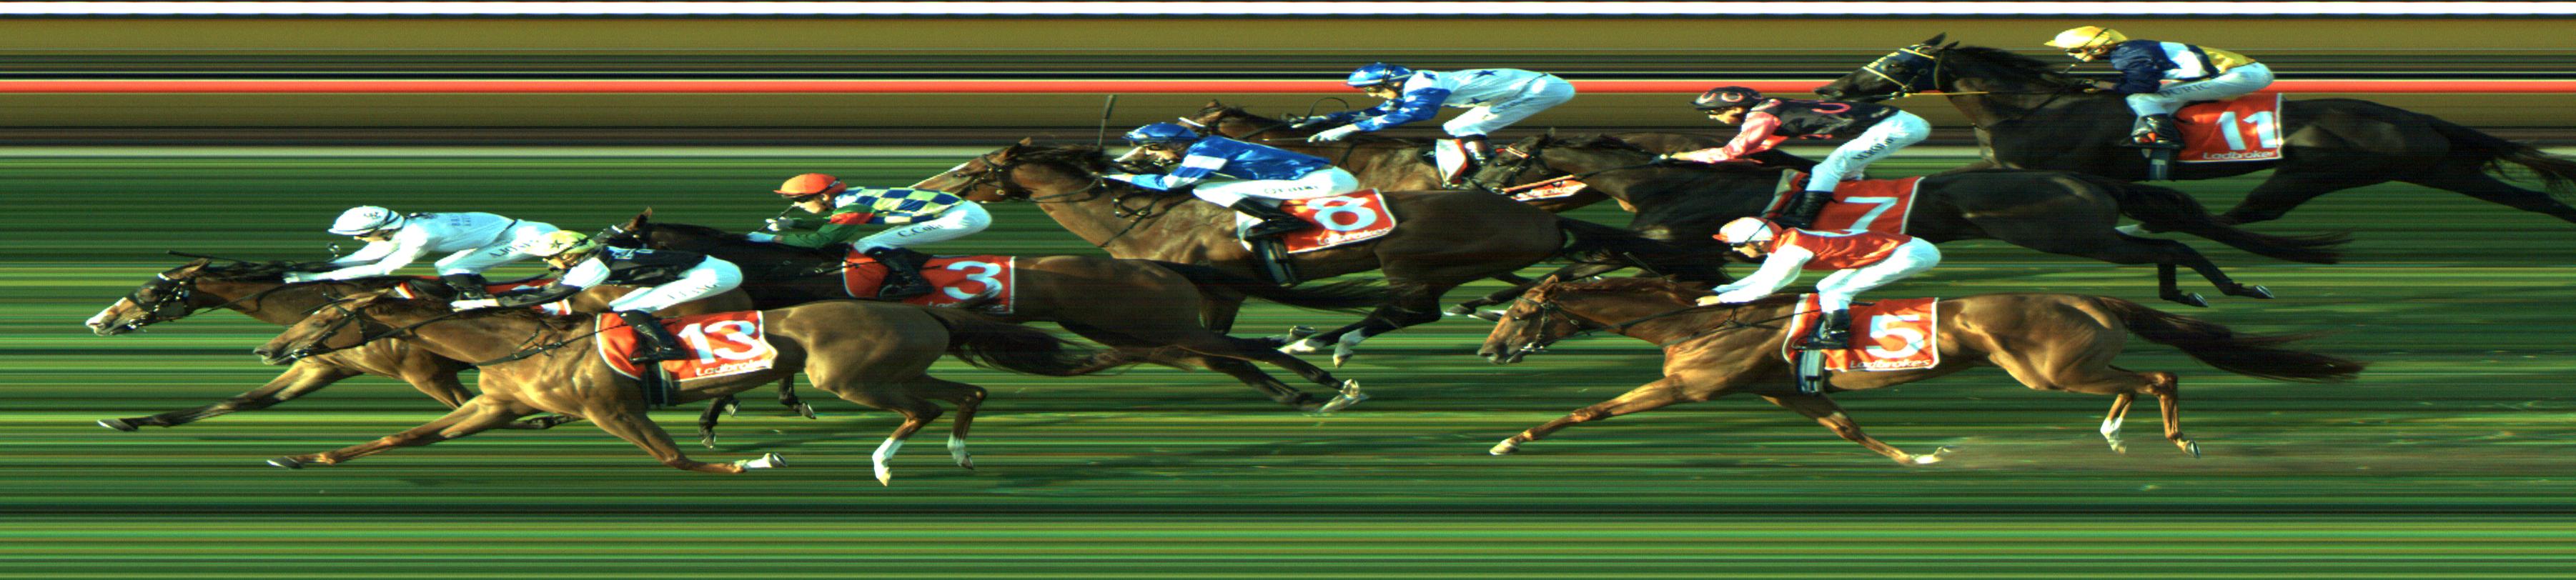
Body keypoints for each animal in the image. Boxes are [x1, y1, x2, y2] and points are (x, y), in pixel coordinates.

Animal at [84, 258, 761, 435]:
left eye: (151, 289)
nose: (97, 319)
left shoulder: (430, 373)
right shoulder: (319, 371)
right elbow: (240, 402)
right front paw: (133, 419)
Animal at [598, 210, 1376, 413]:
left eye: (618, 253)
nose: (588, 300)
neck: (794, 264)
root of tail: (1157, 263)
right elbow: (781, 369)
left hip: (1155, 322)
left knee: (1251, 349)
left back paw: (1329, 382)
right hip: (1134, 328)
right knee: (1228, 358)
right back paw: (1292, 392)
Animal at [908, 139, 1728, 367]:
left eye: (973, 170)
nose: (927, 186)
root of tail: (1528, 213)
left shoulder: (1220, 285)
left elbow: (1208, 333)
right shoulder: (1219, 288)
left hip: (1414, 257)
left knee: (1408, 309)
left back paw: (1330, 341)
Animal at [1814, 34, 2576, 226]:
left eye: (1894, 62)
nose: (1829, 90)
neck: (2033, 105)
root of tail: (2411, 112)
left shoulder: (2029, 170)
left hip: (2313, 172)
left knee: (2246, 214)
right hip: (2442, 167)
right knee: (2533, 198)